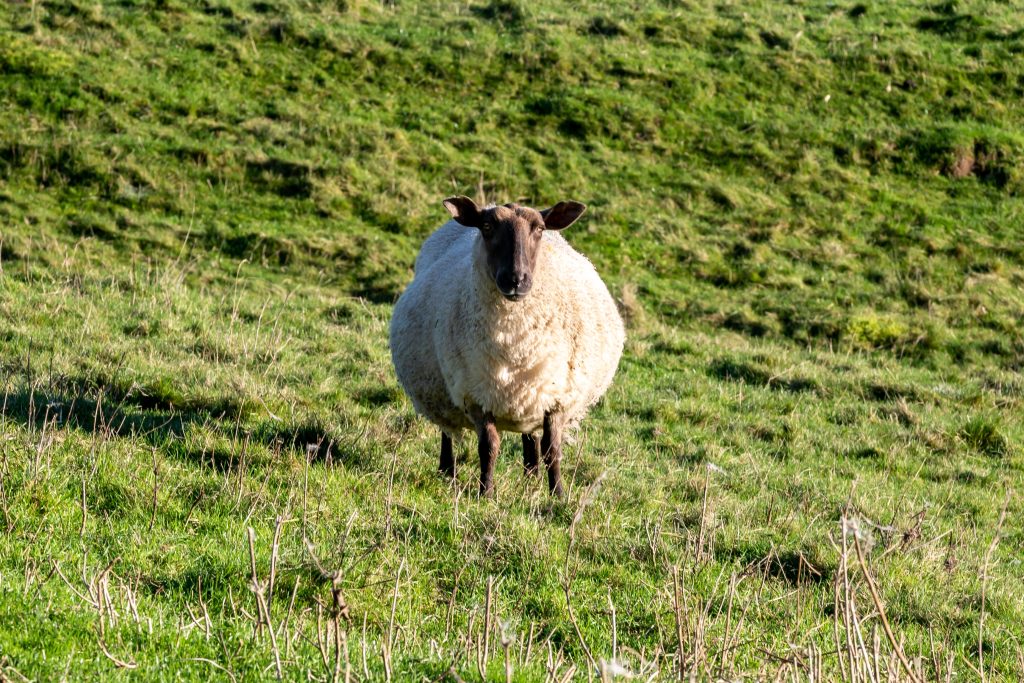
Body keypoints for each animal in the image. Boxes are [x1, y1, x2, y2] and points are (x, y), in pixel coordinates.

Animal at [389, 196, 625, 497]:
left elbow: (552, 449)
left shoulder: (556, 396)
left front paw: (558, 493)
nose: (516, 280)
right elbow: (488, 448)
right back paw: (447, 471)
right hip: (443, 390)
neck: (514, 342)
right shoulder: (476, 395)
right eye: (487, 226)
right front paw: (486, 493)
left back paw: (531, 475)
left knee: (531, 438)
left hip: (531, 393)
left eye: (539, 228)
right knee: (447, 430)